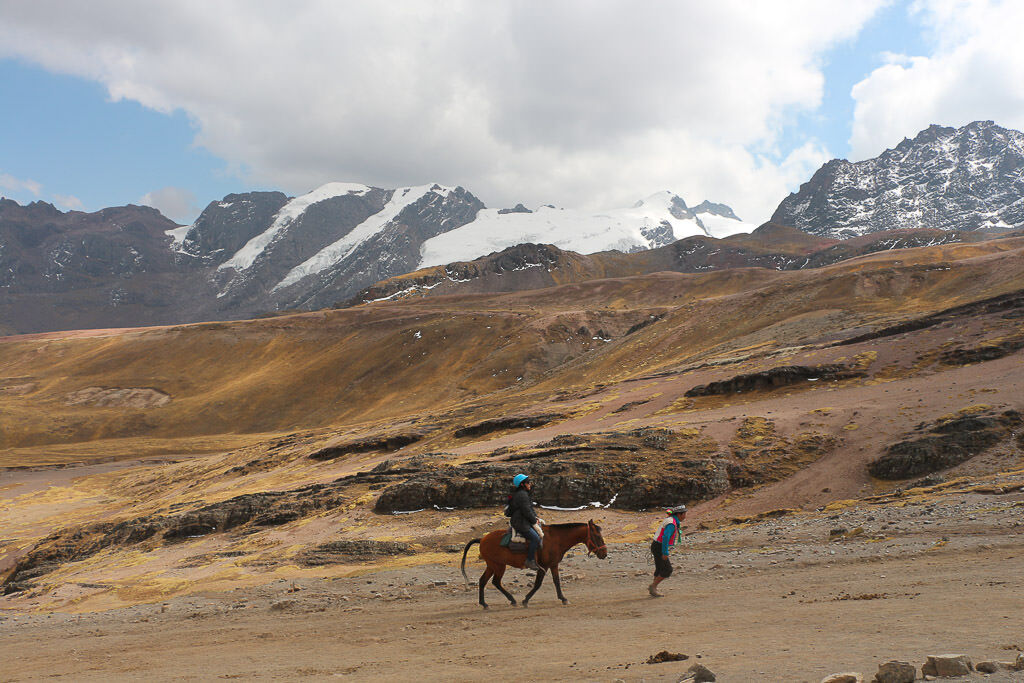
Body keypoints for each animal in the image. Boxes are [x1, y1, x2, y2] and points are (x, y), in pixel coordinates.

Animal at [458, 520, 606, 610]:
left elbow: (557, 581)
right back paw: (509, 600)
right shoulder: (543, 566)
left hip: (492, 565)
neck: (556, 539)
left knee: (484, 581)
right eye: (598, 536)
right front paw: (525, 601)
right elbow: (538, 584)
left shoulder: (553, 565)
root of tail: (482, 539)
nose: (604, 553)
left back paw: (486, 603)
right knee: (495, 582)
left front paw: (563, 598)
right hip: (498, 566)